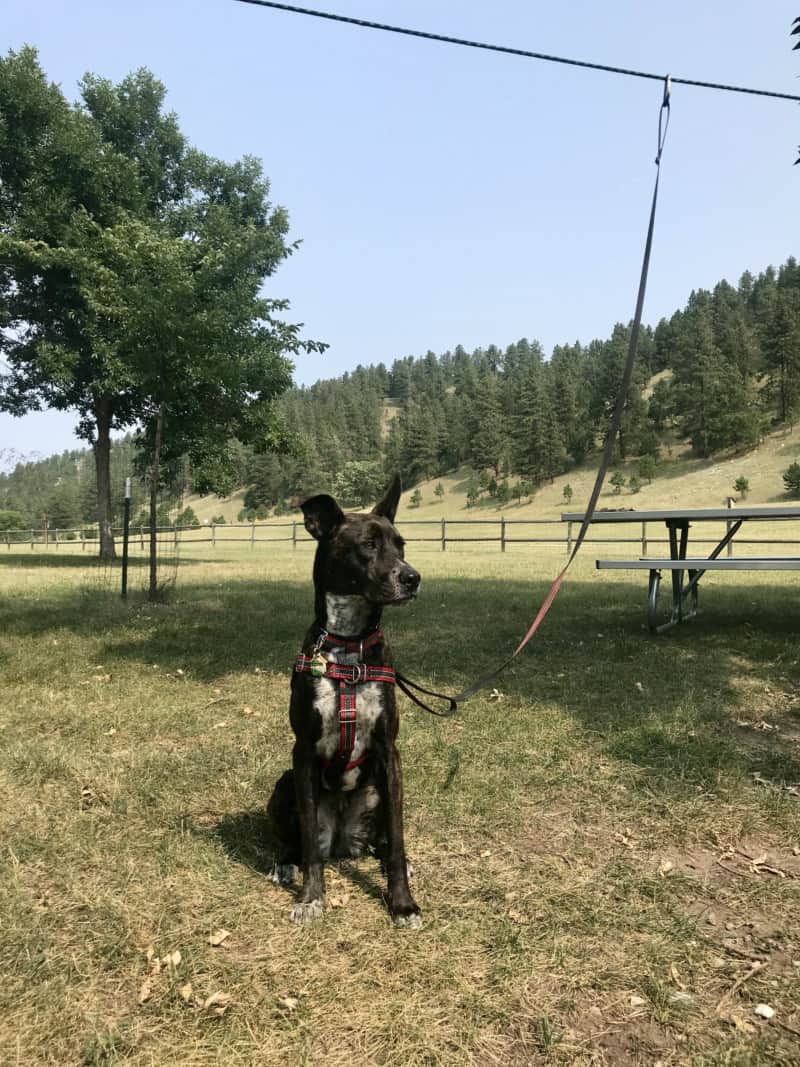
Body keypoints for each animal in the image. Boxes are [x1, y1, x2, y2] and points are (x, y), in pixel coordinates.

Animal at [269, 475, 422, 926]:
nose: (413, 578)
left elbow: (398, 837)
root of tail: (340, 841)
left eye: (401, 544)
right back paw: (285, 863)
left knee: (384, 840)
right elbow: (308, 848)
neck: (349, 646)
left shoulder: (389, 751)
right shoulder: (302, 751)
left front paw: (402, 903)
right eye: (368, 545)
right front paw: (311, 898)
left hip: (380, 789)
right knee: (301, 843)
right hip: (283, 783)